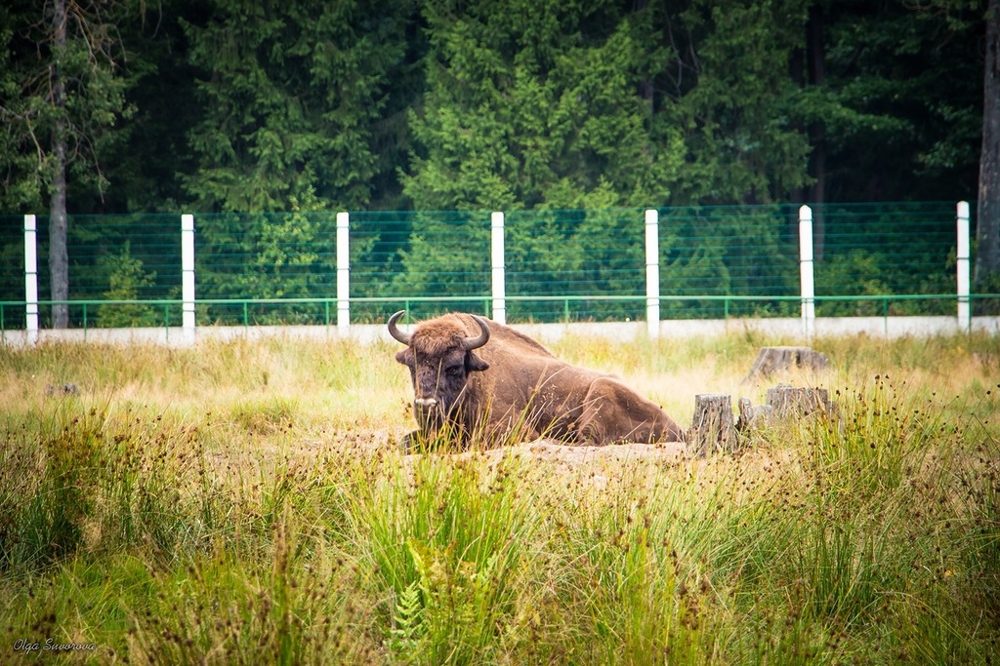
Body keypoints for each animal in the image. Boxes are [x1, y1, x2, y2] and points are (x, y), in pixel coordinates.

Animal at [390, 310, 688, 446]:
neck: (475, 378)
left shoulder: (509, 428)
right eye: (413, 365)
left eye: (453, 366)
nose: (426, 406)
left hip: (600, 392)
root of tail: (677, 427)